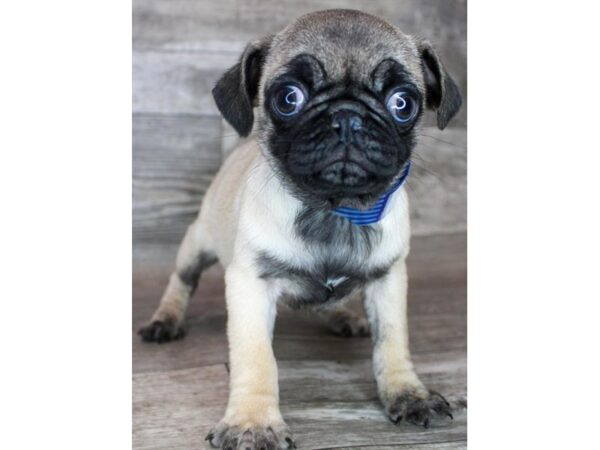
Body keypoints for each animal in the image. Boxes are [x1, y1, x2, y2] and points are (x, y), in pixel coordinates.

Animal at [141, 7, 464, 450]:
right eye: (288, 98)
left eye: (402, 103)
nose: (347, 118)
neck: (334, 209)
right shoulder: (250, 283)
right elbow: (257, 357)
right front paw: (253, 423)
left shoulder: (388, 279)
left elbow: (393, 342)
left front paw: (408, 394)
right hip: (197, 242)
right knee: (181, 280)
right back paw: (166, 320)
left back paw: (346, 316)